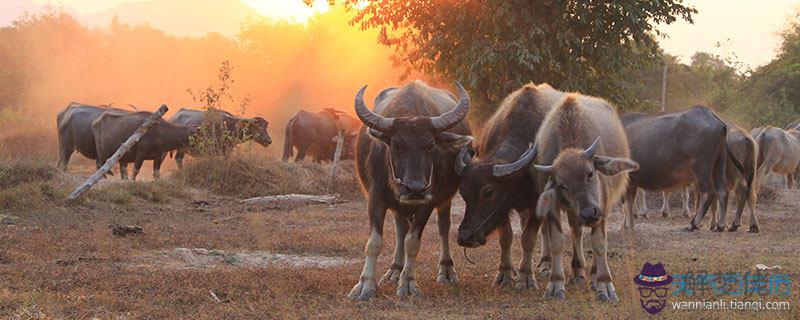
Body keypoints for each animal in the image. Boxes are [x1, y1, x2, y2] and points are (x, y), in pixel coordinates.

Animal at [346, 80, 472, 300]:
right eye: (396, 145)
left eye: (430, 145)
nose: (415, 189)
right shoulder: (376, 198)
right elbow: (374, 242)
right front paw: (364, 286)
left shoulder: (428, 201)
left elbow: (412, 242)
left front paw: (407, 283)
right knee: (400, 228)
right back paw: (395, 270)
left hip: (444, 200)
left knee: (443, 227)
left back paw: (446, 269)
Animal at [454, 83, 560, 290]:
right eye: (463, 193)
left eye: (489, 192)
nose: (465, 237)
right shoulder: (502, 208)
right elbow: (506, 238)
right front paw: (505, 274)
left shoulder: (536, 202)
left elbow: (528, 238)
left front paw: (525, 277)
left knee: (546, 229)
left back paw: (546, 264)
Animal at [532, 93, 636, 302]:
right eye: (562, 185)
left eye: (590, 173)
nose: (589, 213)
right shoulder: (554, 207)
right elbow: (557, 241)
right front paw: (556, 283)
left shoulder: (602, 206)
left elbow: (599, 244)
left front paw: (604, 284)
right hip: (575, 212)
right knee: (576, 230)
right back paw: (578, 270)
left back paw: (593, 274)